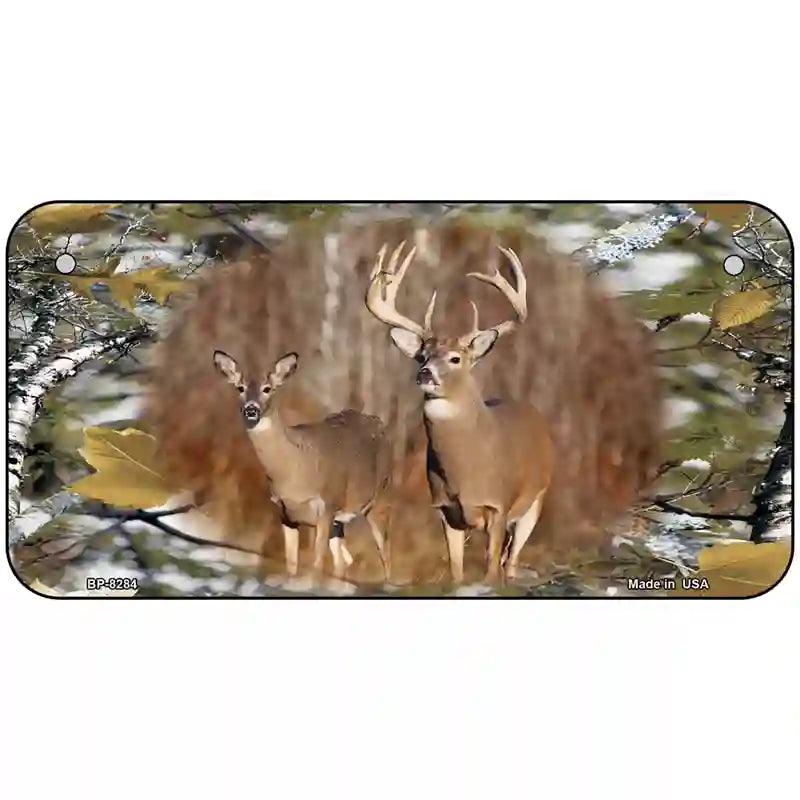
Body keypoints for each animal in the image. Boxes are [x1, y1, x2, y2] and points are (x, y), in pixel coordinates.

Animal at [212, 349, 391, 582]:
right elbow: (291, 564)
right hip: (339, 521)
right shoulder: (286, 513)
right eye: (240, 388)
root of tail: (378, 422)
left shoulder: (326, 505)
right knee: (343, 562)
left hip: (380, 498)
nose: (251, 409)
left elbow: (316, 564)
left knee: (384, 553)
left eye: (267, 388)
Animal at [365, 242, 554, 584]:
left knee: (511, 559)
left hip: (536, 499)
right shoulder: (445, 509)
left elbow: (491, 567)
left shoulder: (498, 505)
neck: (464, 472)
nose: (424, 374)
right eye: (422, 355)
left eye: (455, 358)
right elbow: (456, 568)